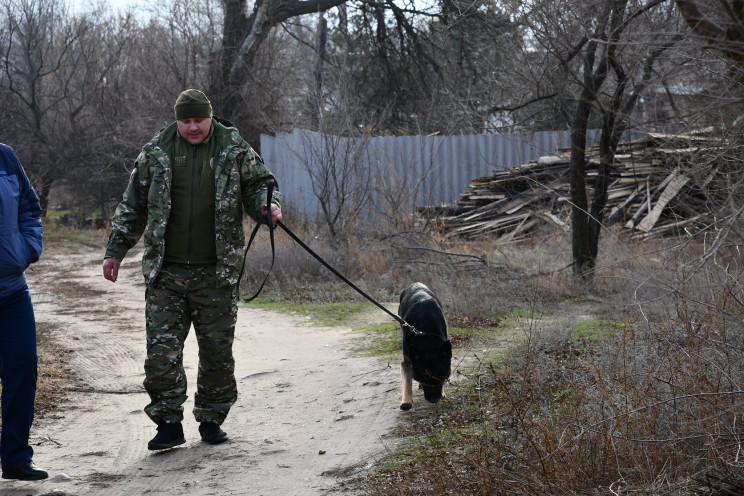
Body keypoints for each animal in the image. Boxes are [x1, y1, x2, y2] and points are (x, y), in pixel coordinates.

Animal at [398, 282, 450, 410]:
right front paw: (406, 401)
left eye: (440, 376)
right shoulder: (407, 362)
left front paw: (442, 392)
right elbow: (407, 381)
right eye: (423, 376)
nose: (434, 400)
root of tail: (415, 283)